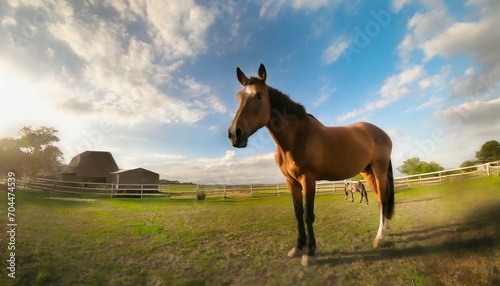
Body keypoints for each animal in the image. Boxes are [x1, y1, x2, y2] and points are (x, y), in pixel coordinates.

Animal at [228, 64, 394, 266]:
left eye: (259, 96)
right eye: (238, 97)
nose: (235, 134)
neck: (296, 138)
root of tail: (381, 133)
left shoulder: (308, 179)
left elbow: (308, 215)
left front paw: (309, 252)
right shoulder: (291, 182)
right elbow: (298, 214)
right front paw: (297, 248)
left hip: (379, 169)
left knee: (384, 199)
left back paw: (380, 238)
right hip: (368, 173)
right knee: (380, 200)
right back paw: (385, 232)